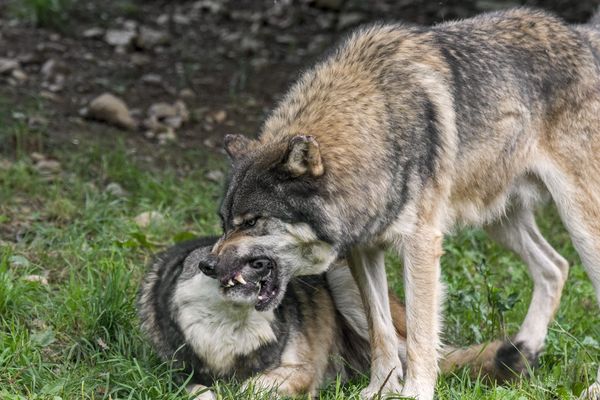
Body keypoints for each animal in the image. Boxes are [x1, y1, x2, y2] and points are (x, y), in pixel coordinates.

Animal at [138, 236, 508, 398]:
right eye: (210, 262)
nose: (263, 263)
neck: (230, 339)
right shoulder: (178, 377)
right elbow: (201, 391)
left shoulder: (301, 370)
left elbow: (249, 387)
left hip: (348, 287)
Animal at [209, 7, 600, 400]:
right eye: (225, 221)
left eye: (252, 221)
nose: (207, 265)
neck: (376, 129)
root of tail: (581, 35)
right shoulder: (364, 249)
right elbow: (380, 330)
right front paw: (379, 389)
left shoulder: (421, 244)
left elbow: (419, 331)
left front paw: (416, 390)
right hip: (499, 222)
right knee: (555, 267)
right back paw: (523, 353)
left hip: (579, 223)